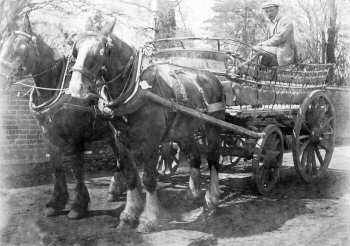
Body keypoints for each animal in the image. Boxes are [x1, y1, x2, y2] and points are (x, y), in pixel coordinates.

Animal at [0, 13, 129, 219]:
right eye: (3, 45)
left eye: (19, 47)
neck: (56, 88)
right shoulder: (49, 136)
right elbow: (57, 167)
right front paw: (56, 202)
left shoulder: (75, 136)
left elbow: (77, 169)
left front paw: (78, 205)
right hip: (110, 133)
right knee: (119, 156)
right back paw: (116, 188)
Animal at [68, 20, 226, 232]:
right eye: (75, 51)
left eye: (103, 51)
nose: (76, 90)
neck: (135, 90)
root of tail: (212, 77)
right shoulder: (119, 141)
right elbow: (130, 176)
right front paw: (129, 214)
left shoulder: (150, 142)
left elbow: (149, 179)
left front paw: (149, 218)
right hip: (184, 131)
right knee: (194, 157)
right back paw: (193, 193)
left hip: (213, 126)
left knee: (213, 158)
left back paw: (212, 199)